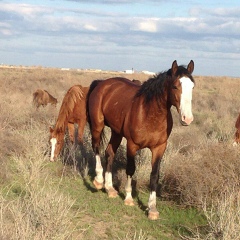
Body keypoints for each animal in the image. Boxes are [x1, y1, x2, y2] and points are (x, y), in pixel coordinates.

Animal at [87, 59, 195, 219]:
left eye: (192, 86)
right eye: (175, 86)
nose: (187, 118)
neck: (149, 114)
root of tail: (102, 83)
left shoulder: (159, 148)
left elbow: (154, 175)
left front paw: (152, 208)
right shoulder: (132, 145)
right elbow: (131, 169)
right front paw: (128, 198)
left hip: (116, 132)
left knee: (109, 152)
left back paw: (110, 188)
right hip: (97, 126)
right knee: (96, 148)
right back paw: (99, 181)